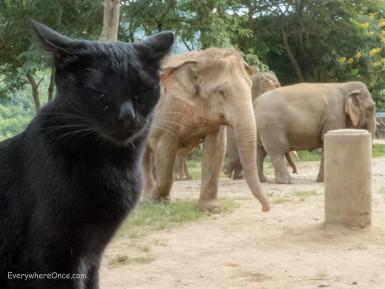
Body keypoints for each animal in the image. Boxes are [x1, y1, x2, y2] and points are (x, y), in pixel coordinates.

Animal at [0, 20, 172, 288]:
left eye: (142, 93)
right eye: (99, 93)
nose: (127, 115)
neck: (113, 167)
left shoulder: (92, 254)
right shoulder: (51, 254)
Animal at [143, 46, 270, 209]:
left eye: (250, 88)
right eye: (221, 92)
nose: (265, 208)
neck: (199, 58)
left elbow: (216, 148)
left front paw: (211, 208)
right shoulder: (168, 106)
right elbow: (164, 147)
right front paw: (157, 200)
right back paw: (146, 197)